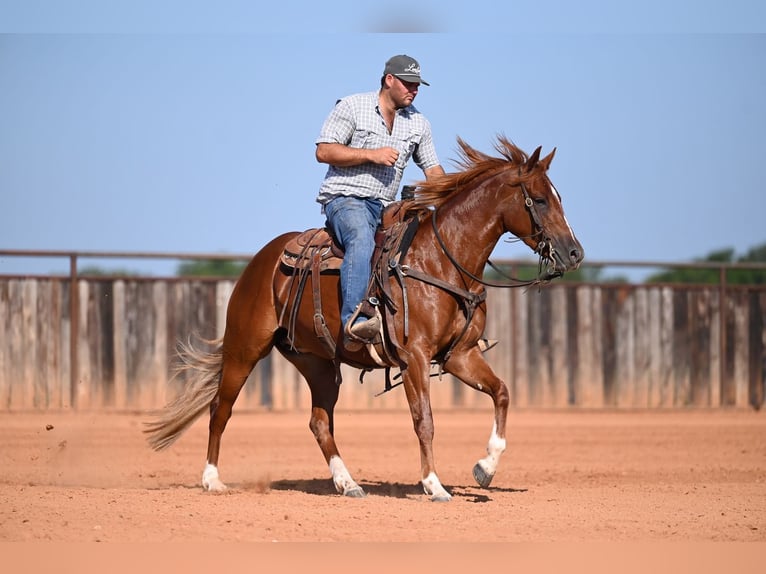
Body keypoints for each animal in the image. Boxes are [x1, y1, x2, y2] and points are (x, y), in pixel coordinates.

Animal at [144, 136, 584, 502]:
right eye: (539, 199)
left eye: (559, 197)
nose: (574, 253)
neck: (441, 261)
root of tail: (261, 261)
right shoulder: (414, 357)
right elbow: (424, 420)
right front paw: (434, 485)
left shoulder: (460, 356)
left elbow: (502, 393)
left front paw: (485, 468)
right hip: (244, 347)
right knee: (221, 408)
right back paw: (212, 479)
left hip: (318, 363)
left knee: (320, 422)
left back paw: (348, 483)